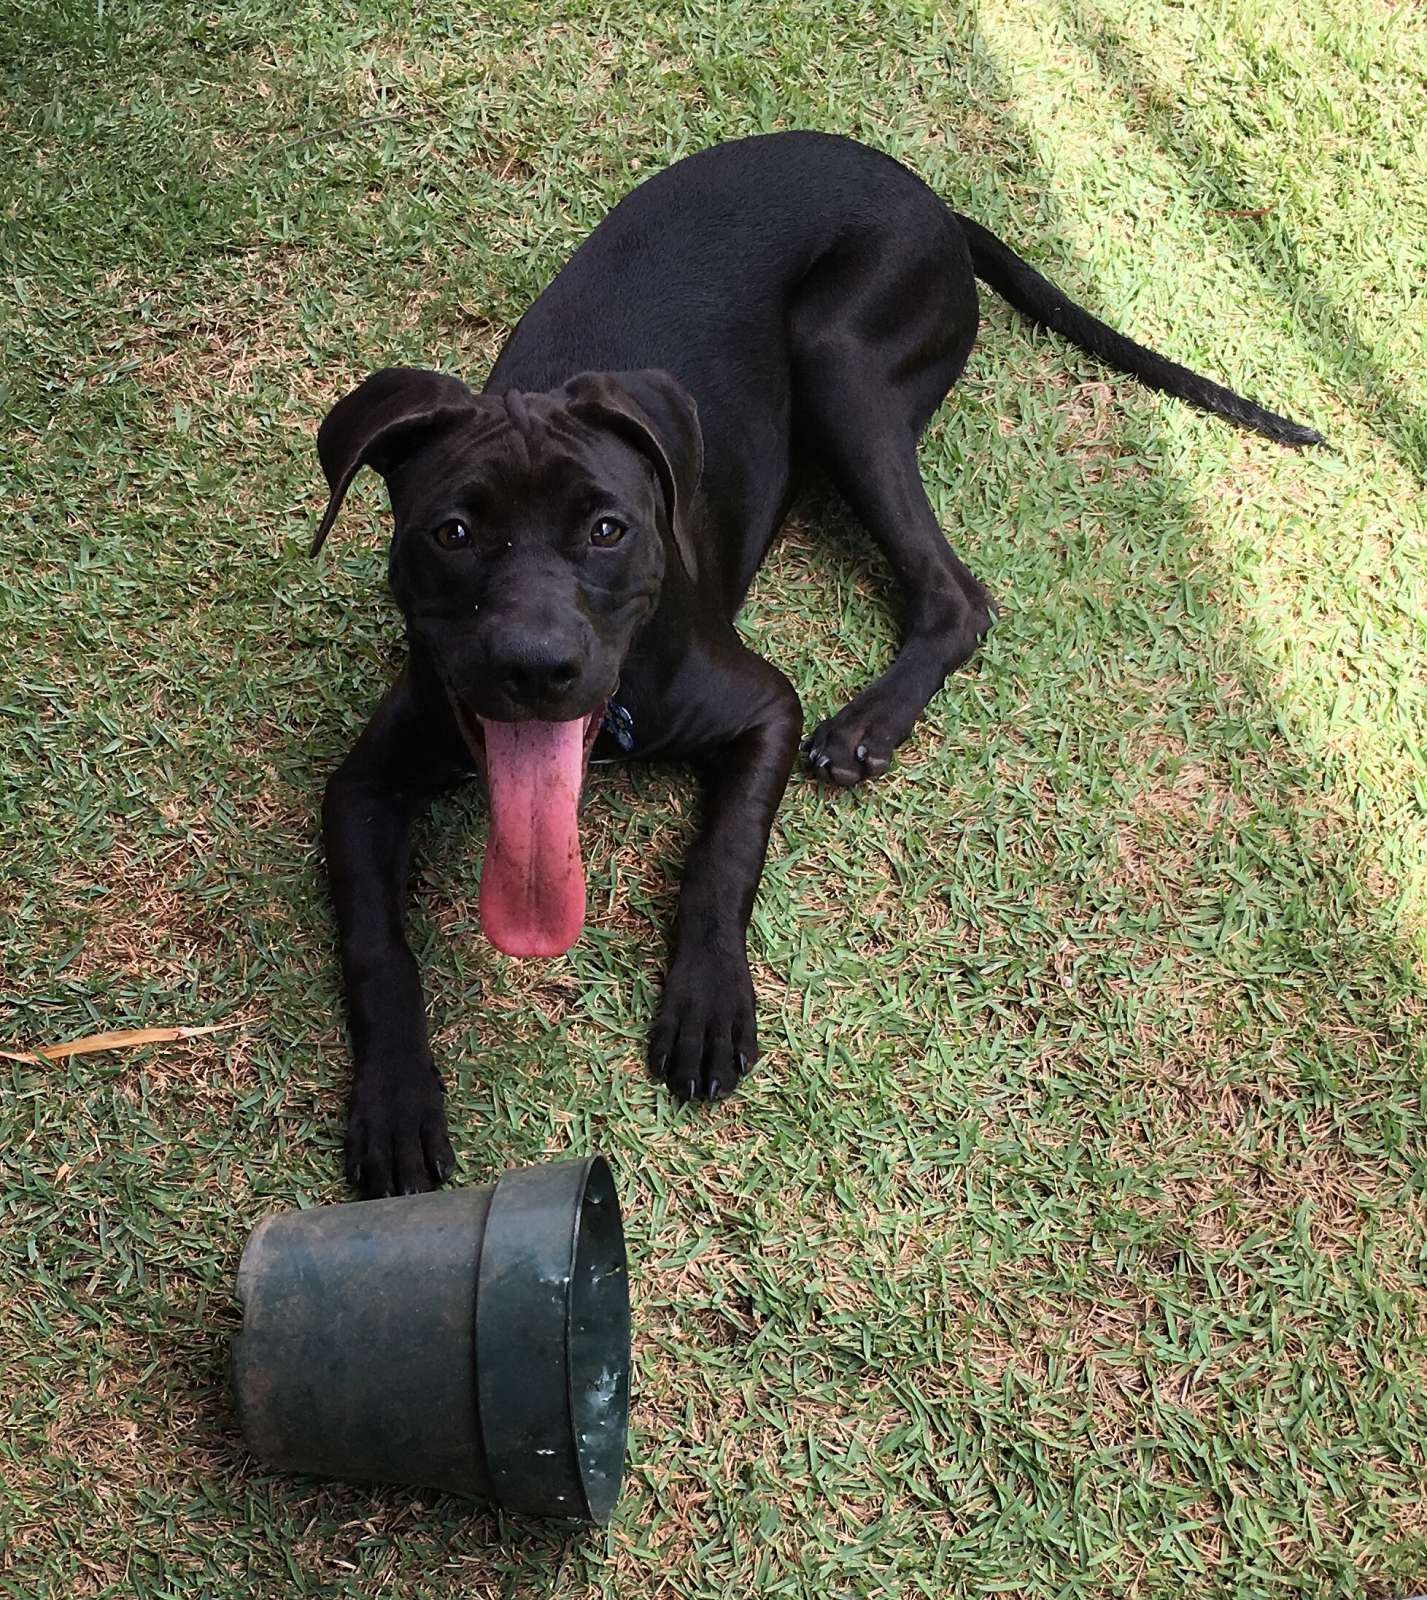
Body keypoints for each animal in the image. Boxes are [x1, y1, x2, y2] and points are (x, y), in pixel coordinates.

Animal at [311, 131, 1320, 1197]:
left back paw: (870, 726)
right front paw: (395, 1100)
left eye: (607, 530)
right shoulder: (363, 785)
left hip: (840, 362)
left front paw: (708, 1001)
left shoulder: (765, 707)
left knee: (958, 597)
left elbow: (724, 857)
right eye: (452, 532)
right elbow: (375, 946)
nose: (538, 668)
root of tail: (921, 192)